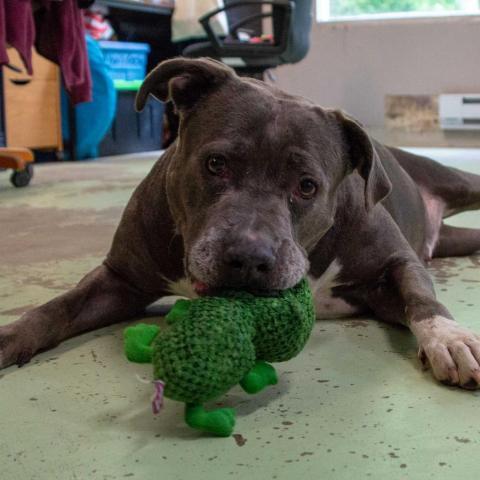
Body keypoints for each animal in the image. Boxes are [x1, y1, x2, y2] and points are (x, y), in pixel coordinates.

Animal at [0, 58, 480, 390]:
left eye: (307, 186)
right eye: (216, 164)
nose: (249, 257)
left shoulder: (395, 264)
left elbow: (422, 298)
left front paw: (449, 339)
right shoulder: (120, 280)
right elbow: (57, 307)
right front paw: (12, 334)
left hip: (457, 182)